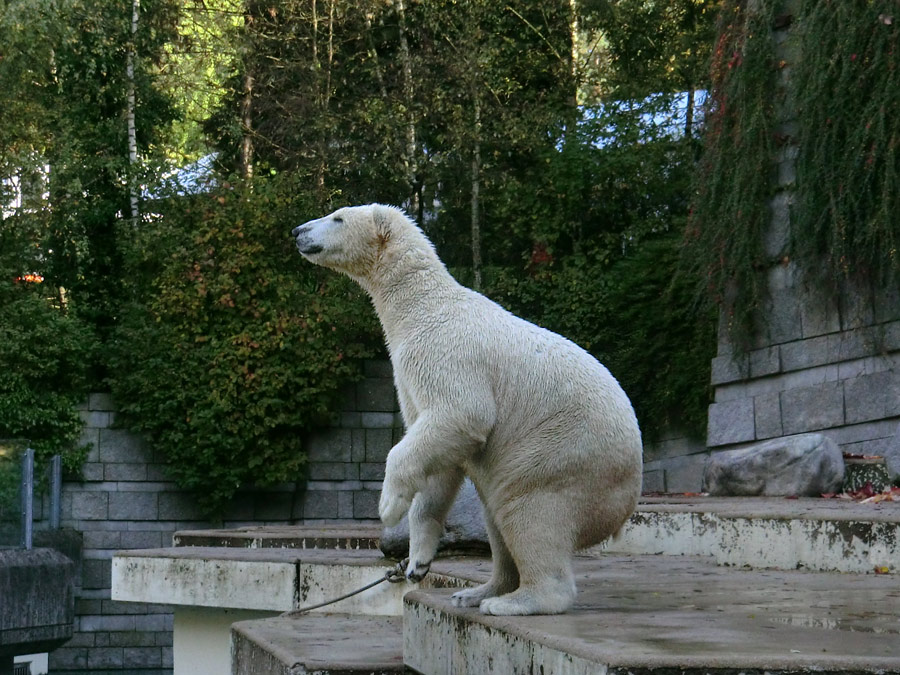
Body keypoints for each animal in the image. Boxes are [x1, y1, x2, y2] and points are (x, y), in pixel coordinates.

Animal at [294, 203, 640, 616]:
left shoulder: (445, 352)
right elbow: (437, 456)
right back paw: (478, 591)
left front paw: (388, 505)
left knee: (527, 509)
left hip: (564, 453)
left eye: (338, 218)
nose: (297, 231)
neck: (422, 305)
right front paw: (417, 562)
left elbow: (461, 414)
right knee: (496, 516)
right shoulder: (409, 376)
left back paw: (514, 601)